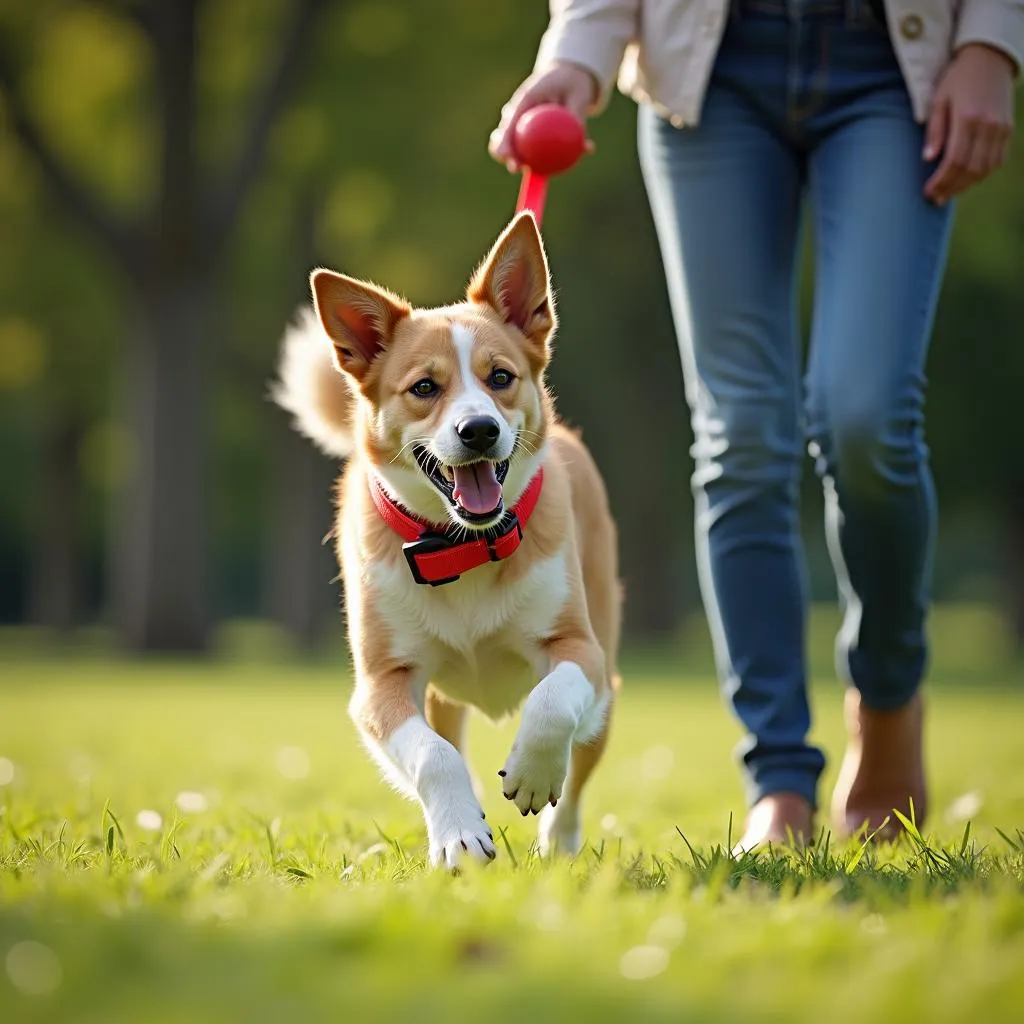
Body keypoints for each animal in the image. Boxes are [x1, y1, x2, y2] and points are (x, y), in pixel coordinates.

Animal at [272, 211, 618, 868]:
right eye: (425, 389)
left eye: (500, 377)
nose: (478, 429)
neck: (463, 545)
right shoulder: (381, 684)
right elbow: (432, 755)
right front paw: (459, 835)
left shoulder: (578, 648)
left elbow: (552, 700)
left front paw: (532, 774)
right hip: (439, 697)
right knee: (449, 742)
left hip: (606, 678)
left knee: (580, 770)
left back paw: (558, 844)